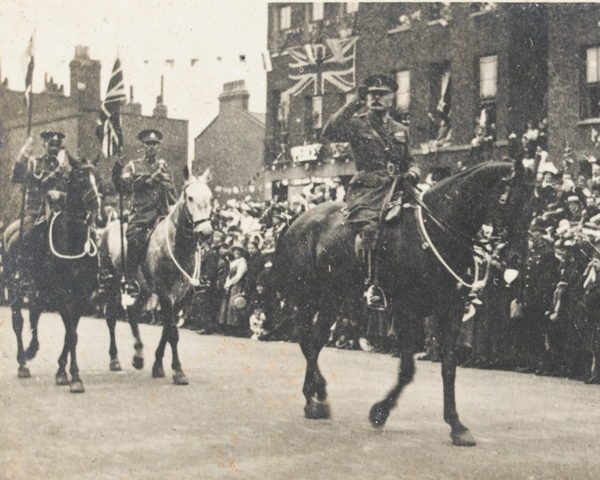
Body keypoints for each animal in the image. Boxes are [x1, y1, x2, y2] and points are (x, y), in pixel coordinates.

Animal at [5, 158, 101, 394]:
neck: (73, 241)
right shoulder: (62, 293)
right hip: (14, 284)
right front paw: (75, 378)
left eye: (99, 178)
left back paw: (31, 349)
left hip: (39, 287)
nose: (96, 207)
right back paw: (23, 362)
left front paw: (62, 372)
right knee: (18, 320)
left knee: (34, 313)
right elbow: (71, 333)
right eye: (82, 179)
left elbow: (70, 333)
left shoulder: (81, 295)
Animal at [101, 167, 216, 384]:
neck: (178, 247)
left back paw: (138, 356)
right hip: (112, 283)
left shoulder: (182, 296)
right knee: (111, 317)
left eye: (210, 198)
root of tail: (109, 226)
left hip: (144, 289)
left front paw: (158, 365)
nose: (205, 232)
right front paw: (178, 371)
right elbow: (172, 331)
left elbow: (168, 329)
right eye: (189, 197)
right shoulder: (165, 293)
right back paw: (114, 360)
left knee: (132, 314)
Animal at [274, 160, 532, 446]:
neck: (436, 230)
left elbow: (449, 368)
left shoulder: (450, 312)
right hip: (307, 297)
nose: (515, 259)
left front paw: (456, 425)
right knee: (305, 337)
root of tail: (297, 221)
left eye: (531, 202)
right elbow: (408, 369)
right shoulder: (408, 311)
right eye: (507, 200)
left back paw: (315, 396)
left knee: (316, 339)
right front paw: (379, 412)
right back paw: (315, 398)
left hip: (332, 299)